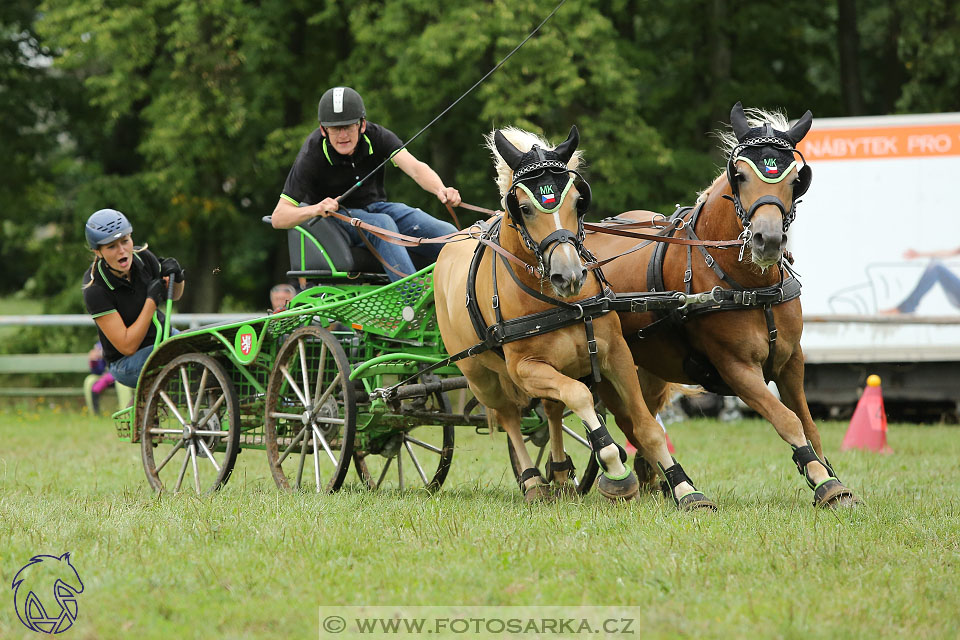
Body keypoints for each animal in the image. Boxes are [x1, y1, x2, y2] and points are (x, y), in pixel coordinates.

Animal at [436, 125, 712, 510]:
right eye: (523, 208)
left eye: (578, 202)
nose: (568, 276)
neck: (560, 303)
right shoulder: (524, 370)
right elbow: (580, 397)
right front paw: (615, 470)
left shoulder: (616, 354)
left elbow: (647, 426)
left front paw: (685, 488)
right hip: (480, 376)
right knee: (509, 417)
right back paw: (533, 480)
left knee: (551, 411)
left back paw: (561, 472)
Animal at [588, 102, 860, 508]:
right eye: (740, 176)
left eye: (795, 180)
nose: (767, 240)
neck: (750, 286)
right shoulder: (736, 368)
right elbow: (787, 420)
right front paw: (821, 479)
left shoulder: (791, 361)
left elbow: (809, 424)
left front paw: (829, 478)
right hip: (607, 367)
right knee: (630, 421)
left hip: (648, 367)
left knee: (644, 416)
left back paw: (653, 477)